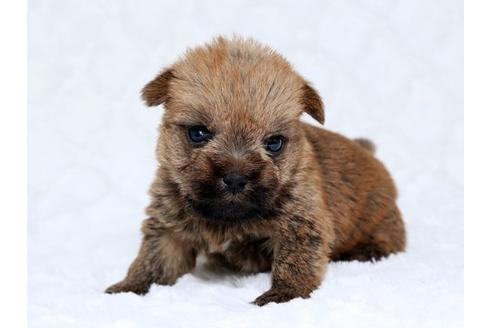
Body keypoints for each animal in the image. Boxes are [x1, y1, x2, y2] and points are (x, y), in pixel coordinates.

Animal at [105, 37, 406, 306]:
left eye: (274, 143)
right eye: (198, 133)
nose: (236, 178)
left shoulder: (300, 226)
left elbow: (293, 263)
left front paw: (282, 295)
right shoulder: (168, 225)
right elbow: (153, 261)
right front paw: (128, 288)